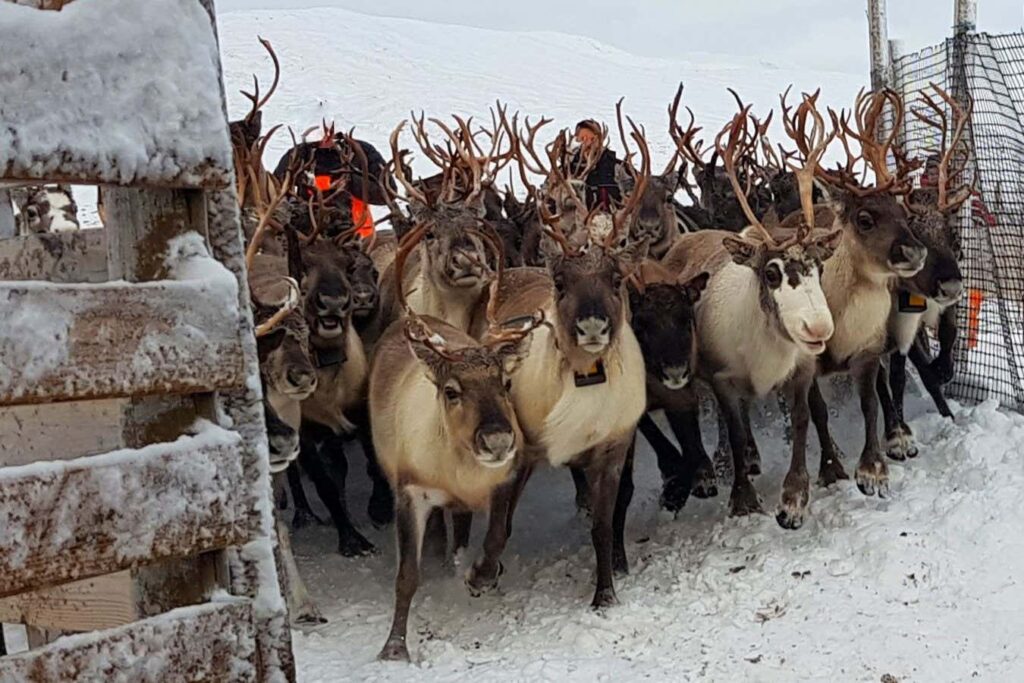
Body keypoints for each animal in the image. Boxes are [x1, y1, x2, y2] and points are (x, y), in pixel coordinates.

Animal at [463, 113, 651, 609]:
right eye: (562, 282)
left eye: (616, 278)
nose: (592, 325)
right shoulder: (519, 444)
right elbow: (499, 527)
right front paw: (480, 574)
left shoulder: (613, 446)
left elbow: (603, 525)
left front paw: (605, 593)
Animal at [659, 90, 843, 528]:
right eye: (771, 272)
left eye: (819, 267)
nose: (817, 328)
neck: (766, 353)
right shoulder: (723, 379)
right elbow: (736, 432)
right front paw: (742, 498)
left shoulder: (801, 370)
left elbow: (803, 418)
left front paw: (795, 498)